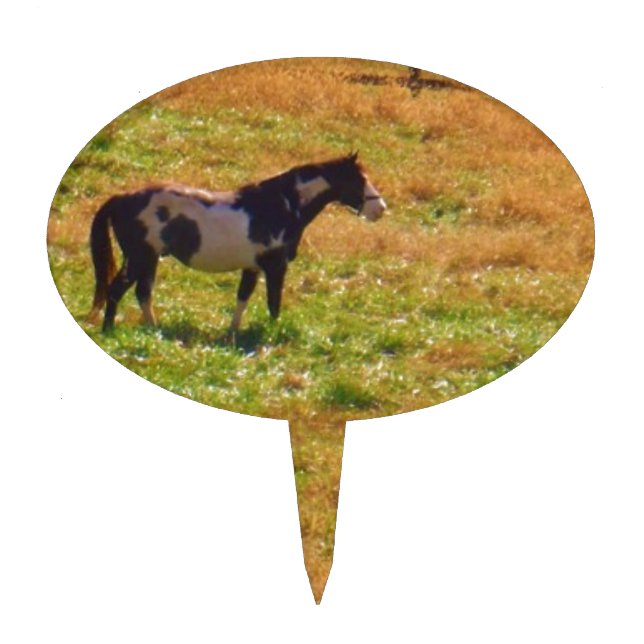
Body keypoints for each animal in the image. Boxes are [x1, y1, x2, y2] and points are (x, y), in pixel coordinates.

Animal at [87, 152, 387, 335]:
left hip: (149, 260)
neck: (280, 205)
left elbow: (243, 298)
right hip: (139, 259)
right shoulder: (275, 267)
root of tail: (121, 198)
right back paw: (110, 330)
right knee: (116, 290)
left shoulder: (252, 267)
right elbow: (273, 303)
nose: (381, 209)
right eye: (359, 180)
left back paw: (154, 329)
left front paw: (232, 333)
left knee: (143, 293)